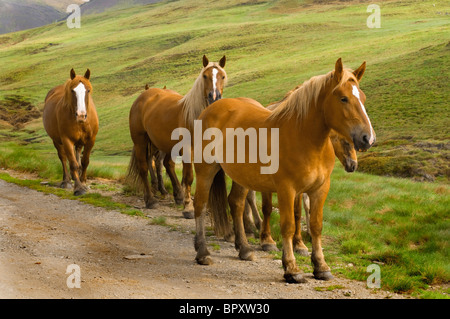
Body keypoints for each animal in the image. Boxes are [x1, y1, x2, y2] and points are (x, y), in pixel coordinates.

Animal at [125, 55, 225, 220]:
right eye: (205, 76)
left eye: (222, 76)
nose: (214, 97)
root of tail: (143, 95)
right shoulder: (188, 149)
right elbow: (189, 177)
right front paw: (188, 208)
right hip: (140, 141)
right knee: (144, 167)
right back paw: (151, 200)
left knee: (166, 164)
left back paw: (176, 195)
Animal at [192, 58, 372, 284]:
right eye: (343, 98)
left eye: (362, 97)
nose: (367, 138)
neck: (304, 138)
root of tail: (212, 108)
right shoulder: (287, 189)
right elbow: (288, 226)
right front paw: (291, 268)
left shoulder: (319, 189)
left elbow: (315, 225)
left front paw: (321, 266)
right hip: (205, 170)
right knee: (200, 204)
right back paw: (202, 252)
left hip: (241, 176)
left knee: (237, 204)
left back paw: (244, 249)